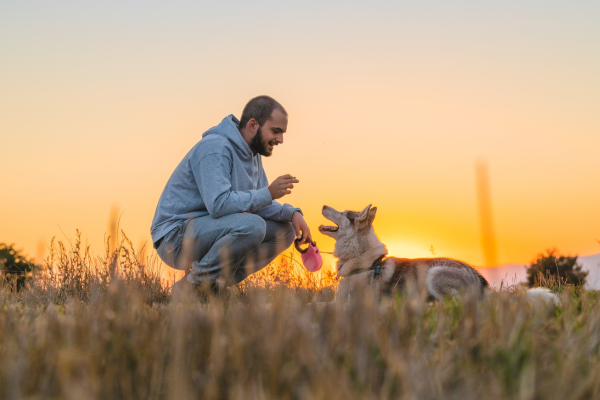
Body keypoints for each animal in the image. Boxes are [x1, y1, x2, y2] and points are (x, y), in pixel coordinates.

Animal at [318, 205, 556, 304]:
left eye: (342, 212)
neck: (366, 262)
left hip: (434, 274)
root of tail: (483, 284)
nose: (323, 205)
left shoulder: (345, 306)